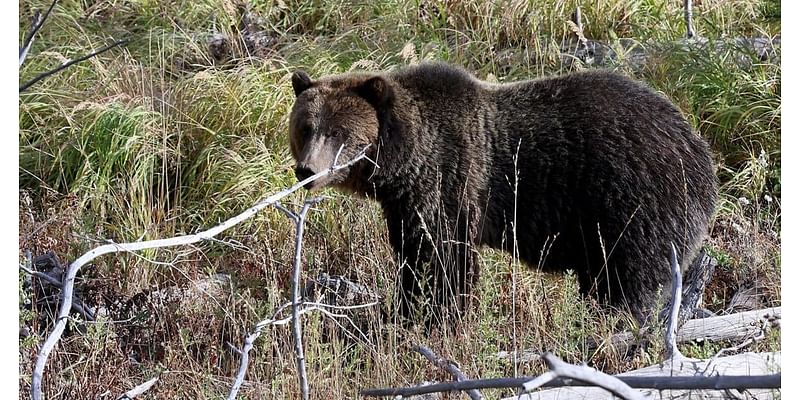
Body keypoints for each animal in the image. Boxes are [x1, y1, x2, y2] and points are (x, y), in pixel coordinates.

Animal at [288, 63, 720, 324]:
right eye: (306, 127)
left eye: (340, 133)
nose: (307, 171)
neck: (407, 161)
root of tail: (699, 150)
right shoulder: (405, 204)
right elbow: (414, 254)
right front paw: (405, 310)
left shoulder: (451, 181)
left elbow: (443, 260)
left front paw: (430, 316)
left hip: (633, 201)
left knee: (628, 279)